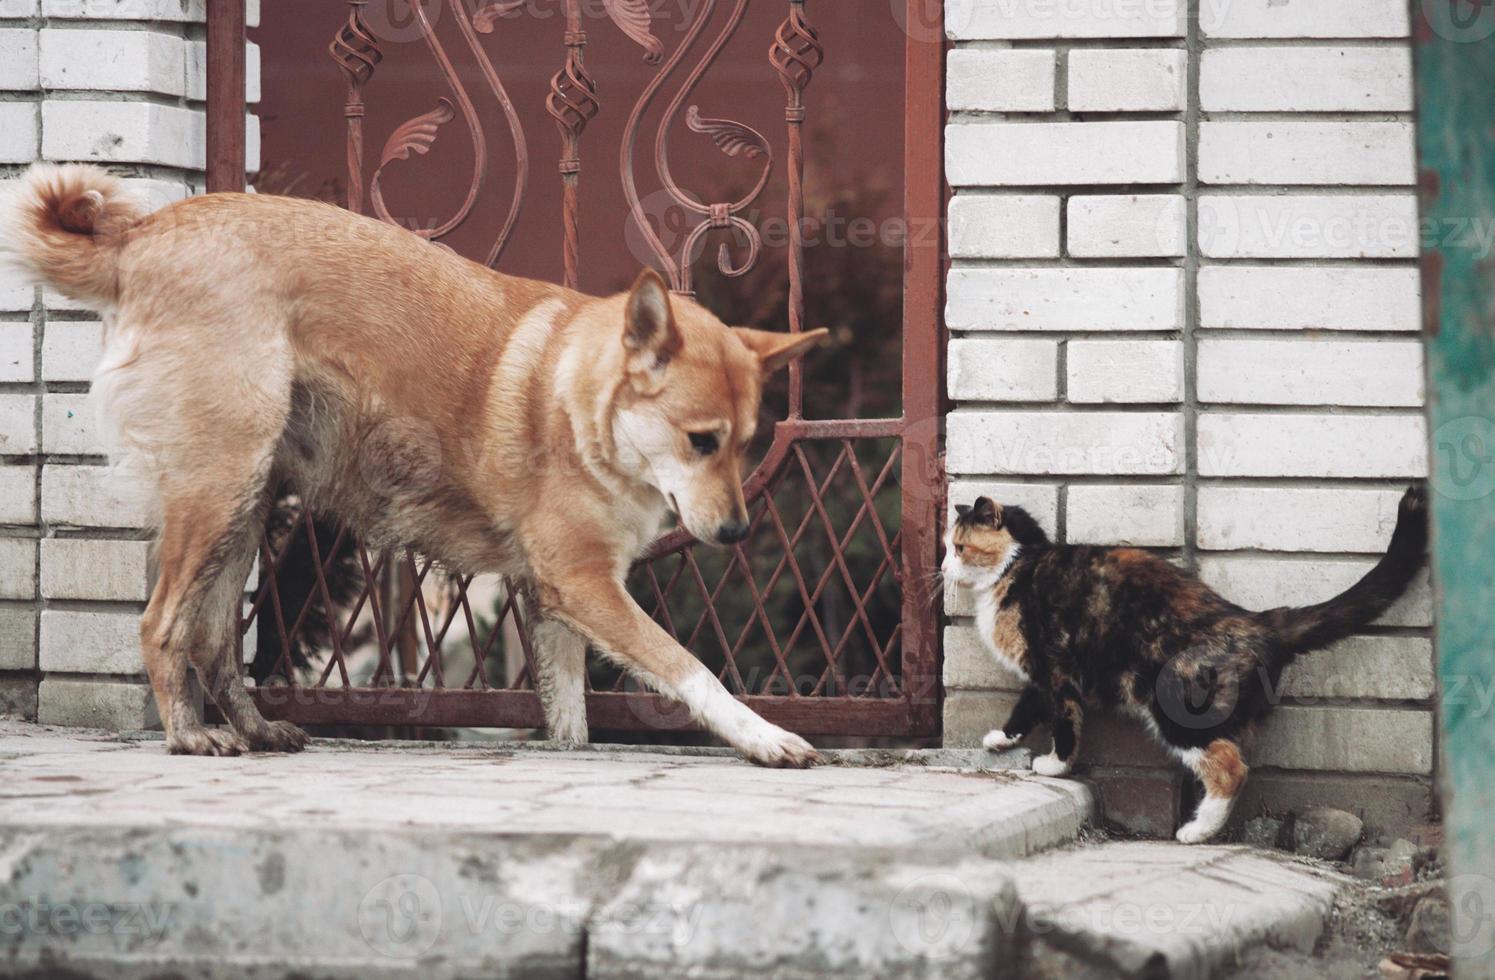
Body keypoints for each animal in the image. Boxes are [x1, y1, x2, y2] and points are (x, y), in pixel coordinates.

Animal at [2, 164, 831, 764]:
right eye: (701, 441)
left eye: (748, 443)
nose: (736, 533)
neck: (578, 403)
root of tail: (143, 234)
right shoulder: (584, 585)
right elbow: (689, 667)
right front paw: (766, 736)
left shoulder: (551, 603)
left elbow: (569, 720)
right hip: (217, 492)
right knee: (161, 624)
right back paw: (187, 733)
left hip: (246, 506)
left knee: (211, 640)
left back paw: (256, 729)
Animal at [944, 487, 1423, 842]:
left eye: (959, 546)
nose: (944, 566)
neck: (1020, 564)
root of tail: (1253, 620)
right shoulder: (1043, 677)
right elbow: (1027, 707)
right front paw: (1001, 740)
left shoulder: (1054, 671)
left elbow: (1061, 721)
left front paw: (1054, 766)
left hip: (1175, 706)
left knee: (1231, 768)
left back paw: (1196, 831)